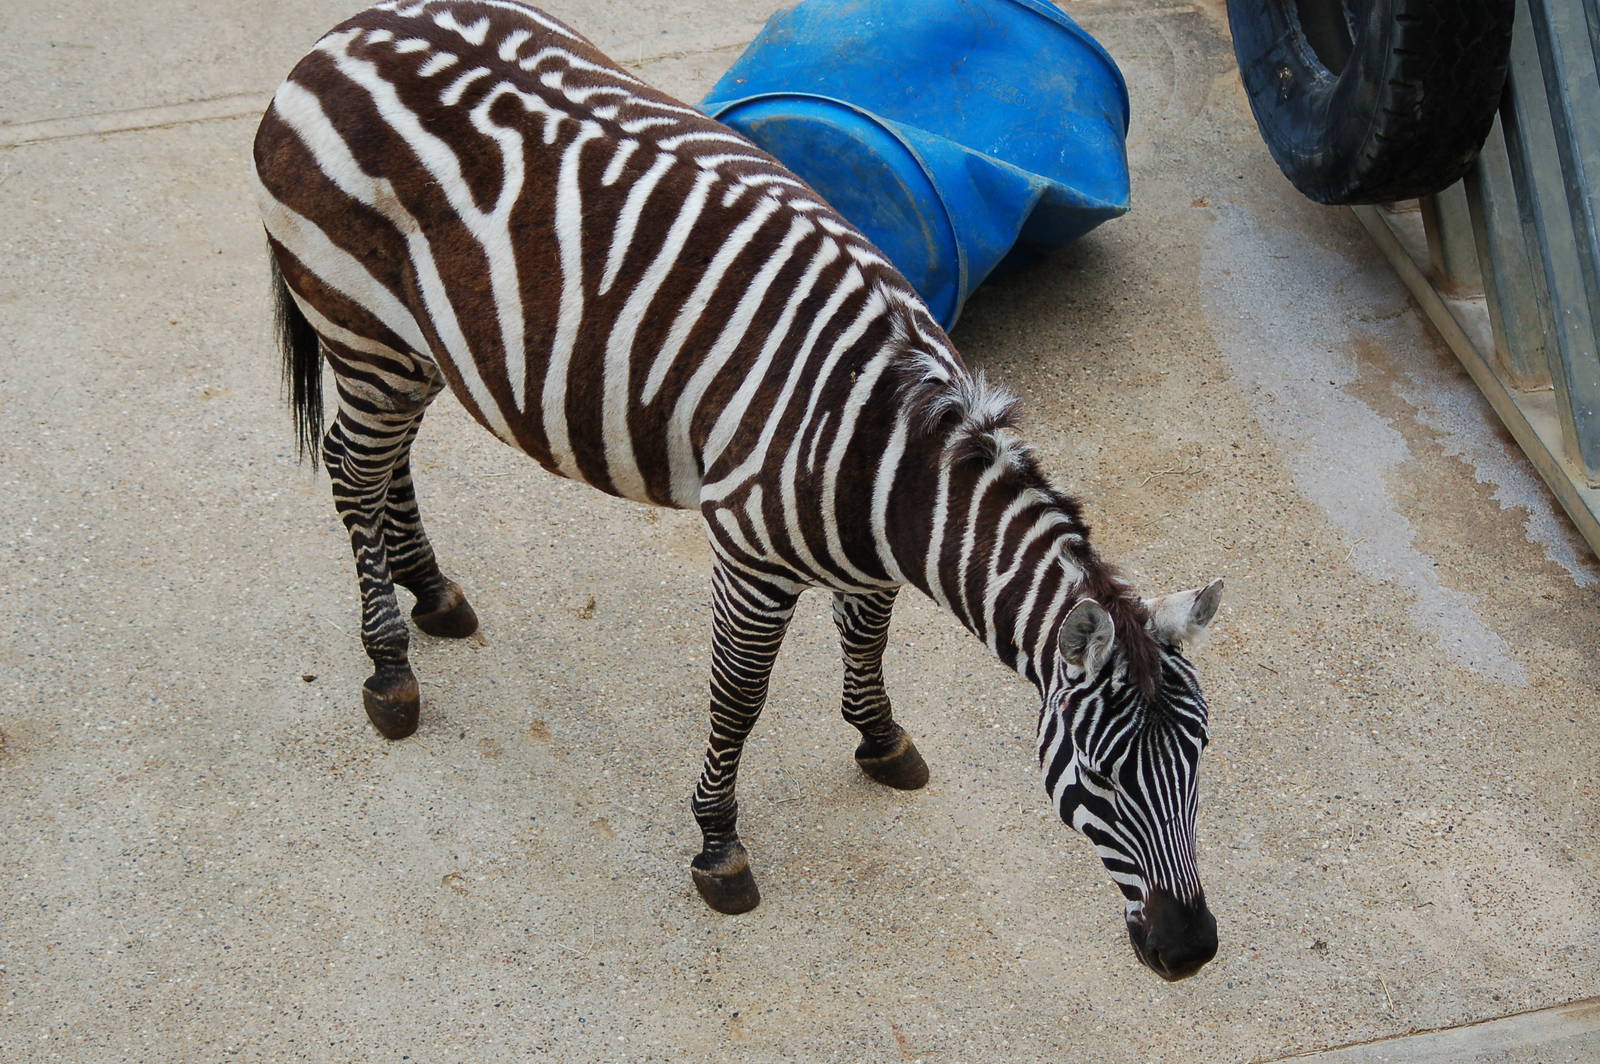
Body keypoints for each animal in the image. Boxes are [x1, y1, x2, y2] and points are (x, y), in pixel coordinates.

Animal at [253, 0, 1226, 980]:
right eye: (1099, 777)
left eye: (1202, 759)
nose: (1189, 952)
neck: (896, 462)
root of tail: (339, 35)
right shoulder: (751, 555)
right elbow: (739, 698)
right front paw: (719, 847)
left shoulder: (870, 557)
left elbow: (866, 644)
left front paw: (880, 739)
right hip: (359, 324)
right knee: (353, 470)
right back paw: (389, 669)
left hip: (414, 344)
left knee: (389, 464)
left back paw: (433, 594)